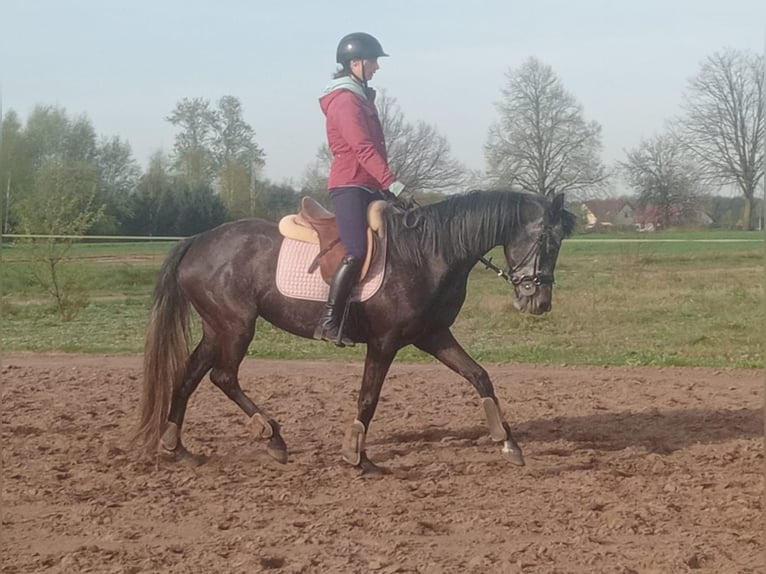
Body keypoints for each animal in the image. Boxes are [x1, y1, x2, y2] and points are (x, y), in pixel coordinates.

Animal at [133, 189, 576, 475]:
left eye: (560, 241)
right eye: (545, 239)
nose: (538, 302)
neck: (429, 252)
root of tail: (196, 241)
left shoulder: (432, 336)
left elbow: (480, 376)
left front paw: (509, 443)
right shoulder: (385, 341)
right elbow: (368, 396)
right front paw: (358, 456)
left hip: (217, 329)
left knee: (188, 376)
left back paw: (177, 448)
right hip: (235, 327)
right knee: (222, 376)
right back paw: (272, 437)